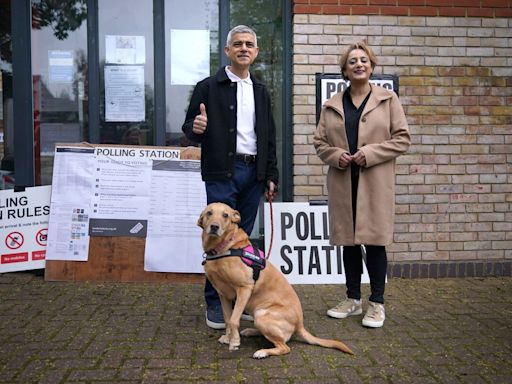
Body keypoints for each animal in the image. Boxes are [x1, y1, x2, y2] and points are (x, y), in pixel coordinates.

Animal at [198, 202, 354, 358]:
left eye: (225, 215)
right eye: (209, 213)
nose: (214, 227)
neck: (224, 248)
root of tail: (299, 325)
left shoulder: (244, 288)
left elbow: (234, 319)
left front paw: (234, 341)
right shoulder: (223, 294)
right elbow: (227, 318)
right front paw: (228, 337)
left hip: (261, 314)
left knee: (284, 347)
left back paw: (262, 352)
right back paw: (251, 331)